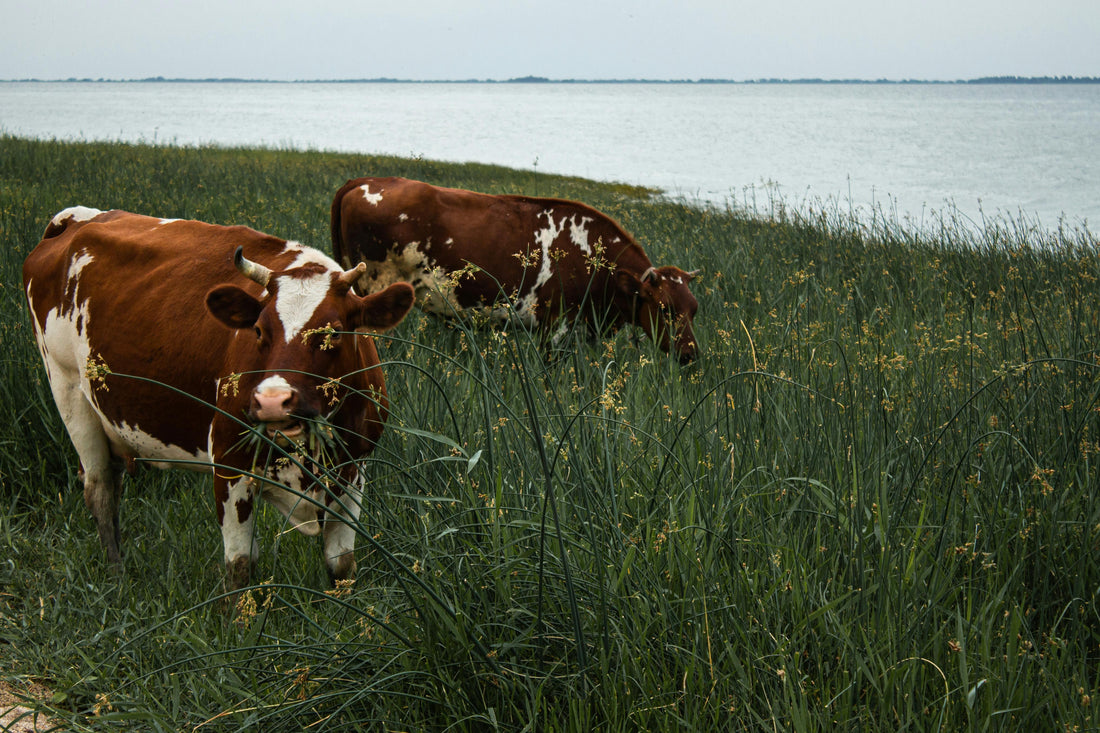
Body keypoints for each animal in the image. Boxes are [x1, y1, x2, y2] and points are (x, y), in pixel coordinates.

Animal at [21, 203, 415, 589]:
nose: (272, 401)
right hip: (67, 389)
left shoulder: (355, 468)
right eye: (259, 330)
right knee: (100, 490)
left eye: (333, 333)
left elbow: (341, 566)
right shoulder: (229, 461)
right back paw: (117, 580)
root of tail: (74, 219)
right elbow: (239, 567)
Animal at [330, 176, 699, 360]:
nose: (690, 354)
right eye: (665, 308)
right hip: (376, 285)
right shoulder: (557, 329)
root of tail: (366, 179)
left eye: (694, 309)